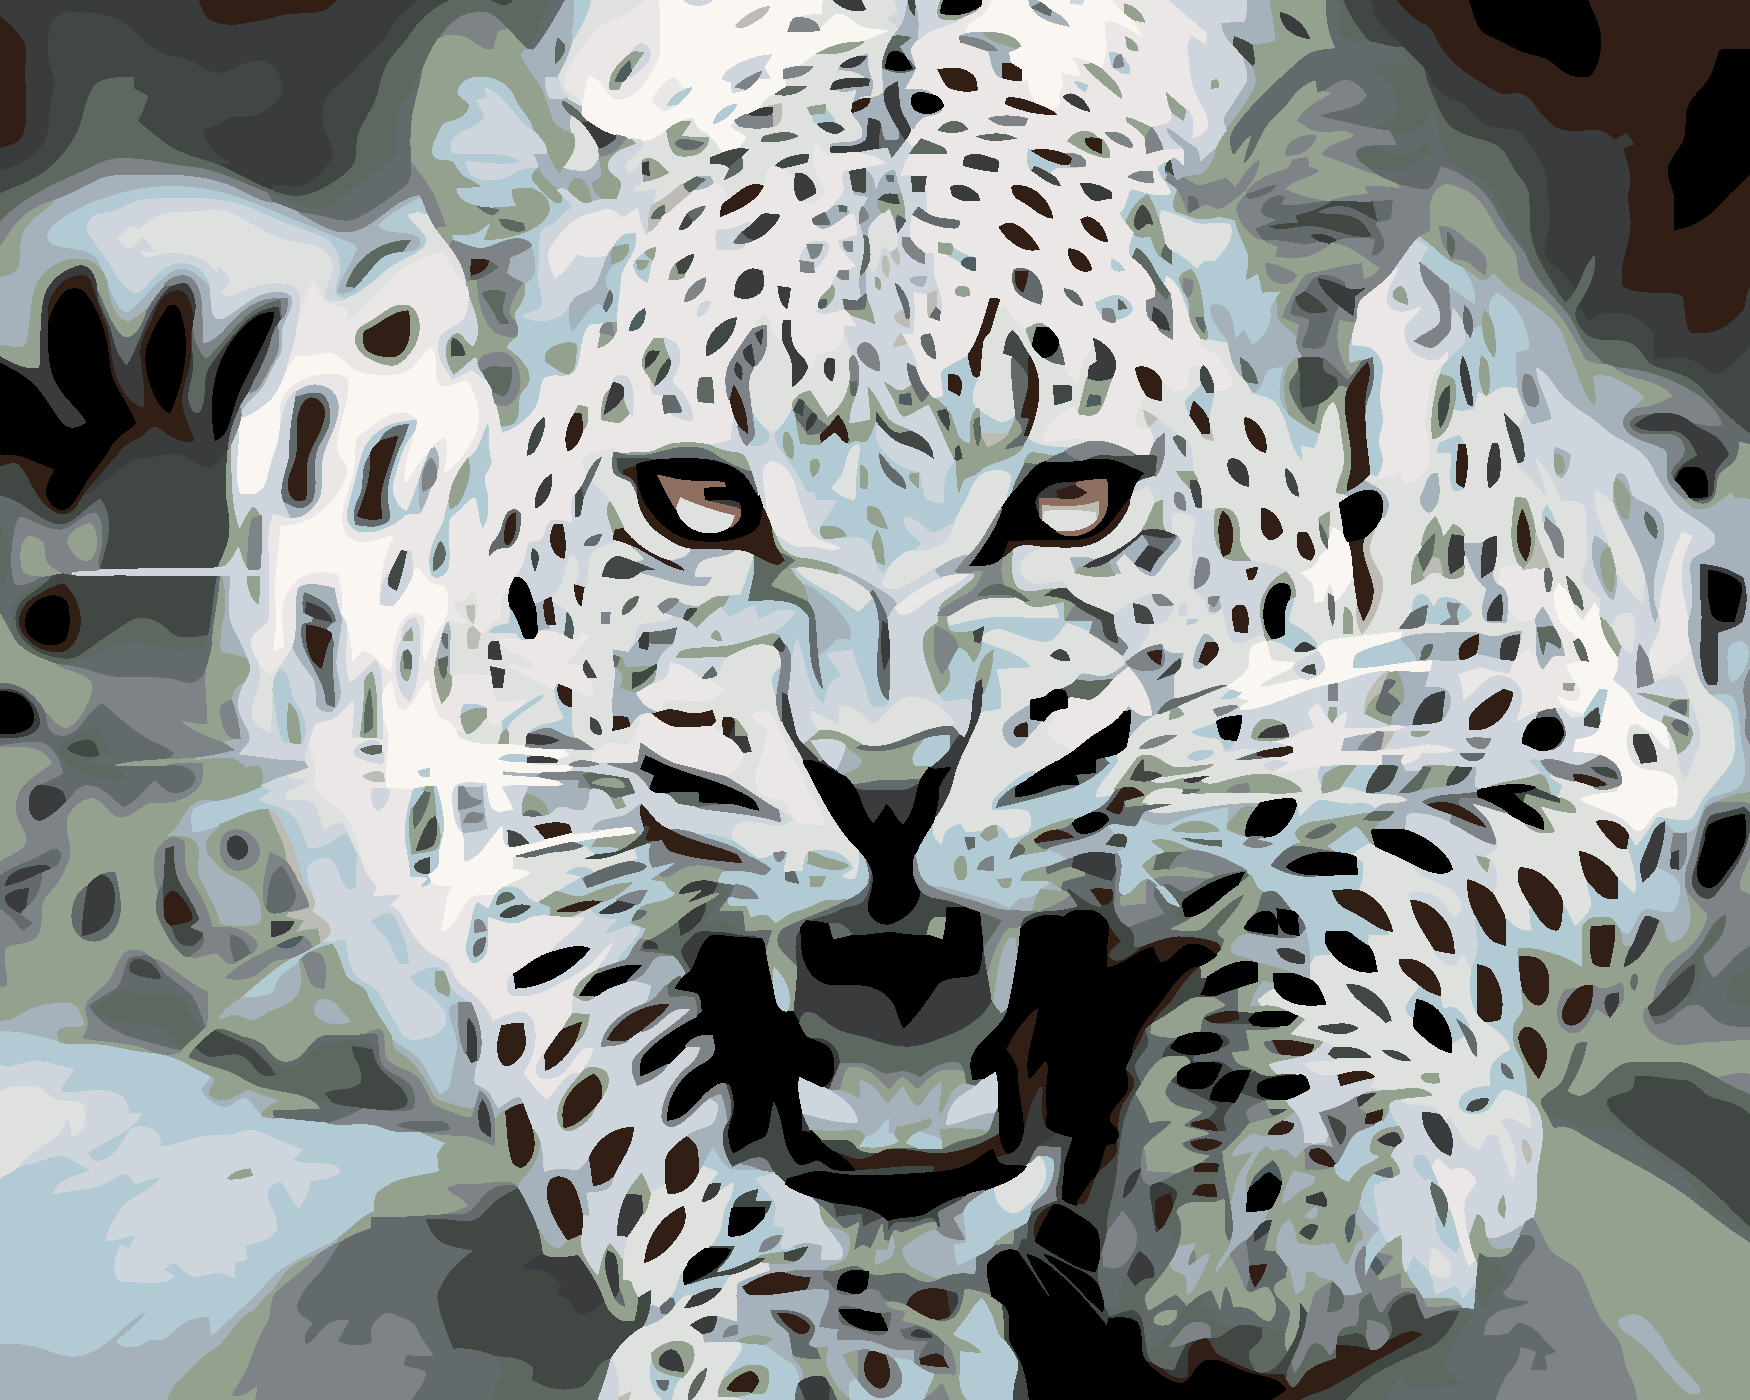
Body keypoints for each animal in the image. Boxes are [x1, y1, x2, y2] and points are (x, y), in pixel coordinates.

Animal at [3, 1, 1746, 1396]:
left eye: (1074, 501)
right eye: (700, 499)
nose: (885, 785)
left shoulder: (1622, 726)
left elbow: (1383, 890)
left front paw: (1280, 1186)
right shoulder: (515, 852)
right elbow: (640, 1084)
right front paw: (818, 1333)